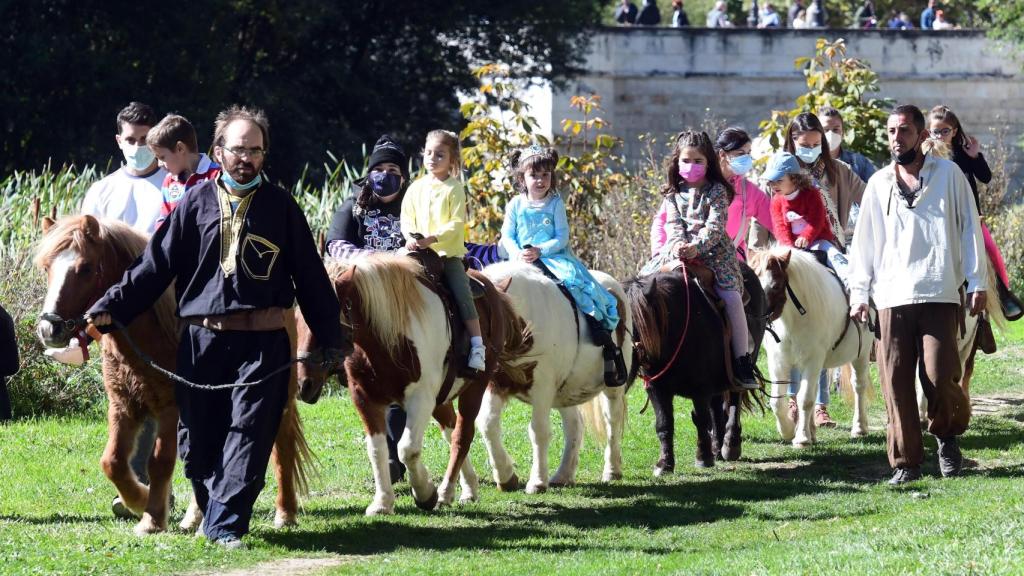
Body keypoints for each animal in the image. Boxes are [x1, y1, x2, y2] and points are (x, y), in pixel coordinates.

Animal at [34, 215, 311, 532]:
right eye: (47, 268)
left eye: (86, 268)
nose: (49, 329)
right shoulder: (123, 406)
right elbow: (112, 462)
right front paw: (139, 501)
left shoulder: (170, 408)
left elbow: (160, 462)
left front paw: (152, 517)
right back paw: (195, 517)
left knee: (282, 445)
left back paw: (285, 512)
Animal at [294, 253, 536, 512]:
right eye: (297, 318)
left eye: (324, 316)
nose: (303, 384)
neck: (387, 337)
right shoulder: (365, 399)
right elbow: (377, 449)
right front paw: (382, 502)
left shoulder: (420, 399)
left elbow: (407, 449)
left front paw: (425, 492)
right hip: (441, 398)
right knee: (451, 431)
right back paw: (469, 486)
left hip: (475, 386)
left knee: (462, 435)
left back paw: (451, 489)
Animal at [477, 262, 630, 491]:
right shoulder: (496, 383)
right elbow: (487, 423)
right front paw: (506, 476)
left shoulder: (542, 387)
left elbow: (538, 430)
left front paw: (538, 481)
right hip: (565, 391)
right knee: (574, 426)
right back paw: (563, 474)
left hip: (612, 386)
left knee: (612, 419)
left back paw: (612, 470)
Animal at [745, 245, 872, 444]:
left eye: (776, 286)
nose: (753, 319)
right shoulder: (779, 362)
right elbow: (778, 401)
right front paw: (789, 430)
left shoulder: (812, 360)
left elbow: (804, 399)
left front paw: (801, 438)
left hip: (862, 354)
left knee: (859, 386)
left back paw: (859, 428)